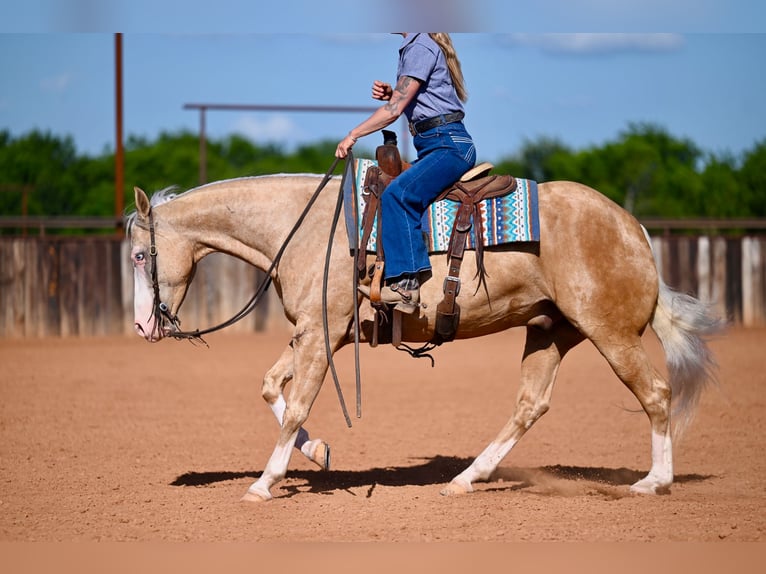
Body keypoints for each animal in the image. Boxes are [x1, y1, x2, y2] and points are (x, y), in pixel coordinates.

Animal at [126, 170, 721, 502]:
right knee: (530, 405)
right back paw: (466, 478)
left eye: (137, 256)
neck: (306, 227)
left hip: (610, 333)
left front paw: (263, 483)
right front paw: (317, 452)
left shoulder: (319, 335)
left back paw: (654, 483)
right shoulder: (314, 335)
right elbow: (272, 387)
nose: (143, 325)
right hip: (550, 331)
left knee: (656, 394)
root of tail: (632, 226)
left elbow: (293, 406)